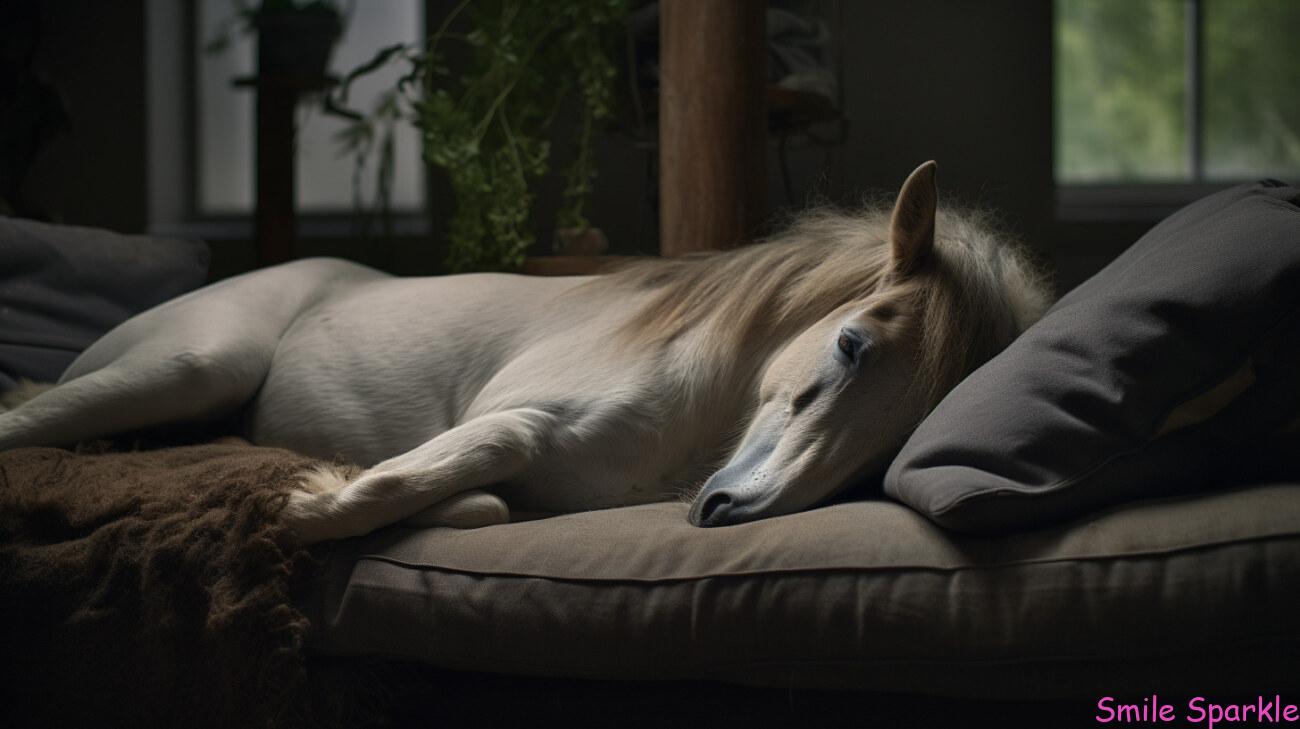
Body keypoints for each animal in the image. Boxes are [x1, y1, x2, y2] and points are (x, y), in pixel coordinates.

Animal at [0, 161, 1045, 543]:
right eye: (850, 344)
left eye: (902, 434)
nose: (726, 510)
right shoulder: (514, 417)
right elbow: (472, 455)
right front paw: (305, 506)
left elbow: (484, 499)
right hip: (188, 368)